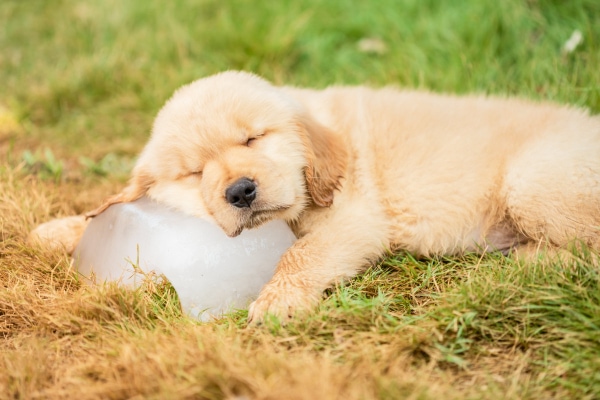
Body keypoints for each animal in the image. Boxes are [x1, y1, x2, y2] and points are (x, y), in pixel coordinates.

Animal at [28, 71, 600, 322]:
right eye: (195, 172)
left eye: (253, 139)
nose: (240, 191)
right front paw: (57, 229)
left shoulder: (354, 220)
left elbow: (302, 254)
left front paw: (277, 300)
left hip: (532, 180)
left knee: (586, 253)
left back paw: (519, 263)